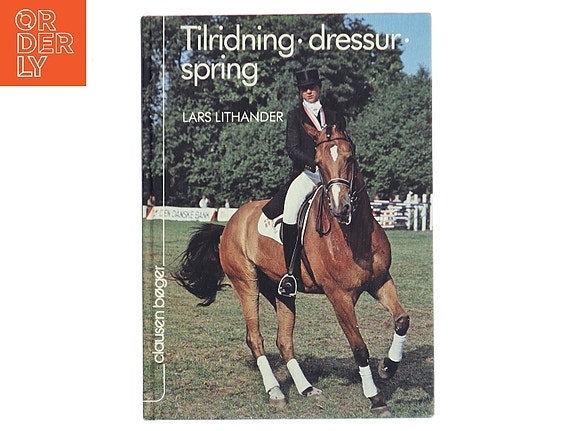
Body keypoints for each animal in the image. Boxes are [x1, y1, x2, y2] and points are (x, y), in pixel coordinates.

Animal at [174, 123, 410, 415]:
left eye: (350, 158)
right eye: (318, 163)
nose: (340, 208)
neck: (354, 235)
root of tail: (229, 225)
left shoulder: (380, 281)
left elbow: (402, 320)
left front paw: (388, 367)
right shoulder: (340, 297)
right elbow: (359, 347)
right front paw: (376, 398)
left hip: (280, 291)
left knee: (284, 340)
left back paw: (306, 388)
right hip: (246, 283)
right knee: (255, 338)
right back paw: (275, 391)